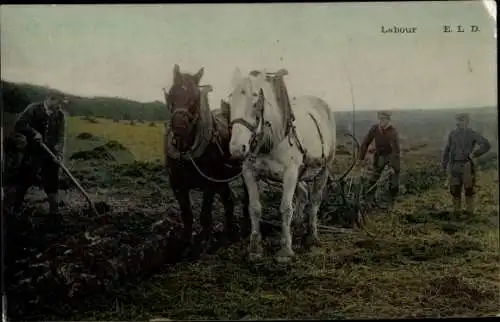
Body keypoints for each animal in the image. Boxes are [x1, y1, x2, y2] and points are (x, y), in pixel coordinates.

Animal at [163, 63, 249, 254]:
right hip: (222, 178)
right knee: (229, 201)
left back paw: (246, 230)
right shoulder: (177, 184)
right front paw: (186, 243)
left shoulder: (209, 183)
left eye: (195, 97)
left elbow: (205, 214)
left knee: (247, 199)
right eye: (171, 92)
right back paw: (229, 233)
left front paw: (204, 244)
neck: (186, 150)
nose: (179, 126)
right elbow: (187, 214)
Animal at [227, 67, 356, 262]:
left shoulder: (290, 173)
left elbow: (286, 208)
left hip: (323, 169)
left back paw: (311, 236)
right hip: (301, 173)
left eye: (256, 100)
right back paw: (297, 226)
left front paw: (285, 250)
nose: (236, 148)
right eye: (230, 100)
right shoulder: (249, 172)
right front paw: (255, 248)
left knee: (314, 201)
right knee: (303, 194)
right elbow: (254, 208)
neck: (272, 140)